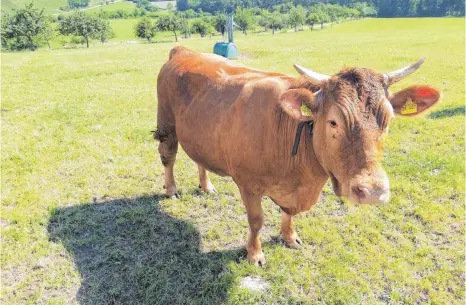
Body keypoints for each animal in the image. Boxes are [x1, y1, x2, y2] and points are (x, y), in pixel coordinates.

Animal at [156, 46, 440, 264]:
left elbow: (288, 213)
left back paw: (206, 186)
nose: (372, 192)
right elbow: (256, 221)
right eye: (333, 122)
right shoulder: (248, 184)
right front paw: (255, 254)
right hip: (166, 123)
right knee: (168, 156)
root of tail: (183, 51)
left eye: (389, 120)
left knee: (199, 159)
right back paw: (171, 189)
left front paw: (290, 237)